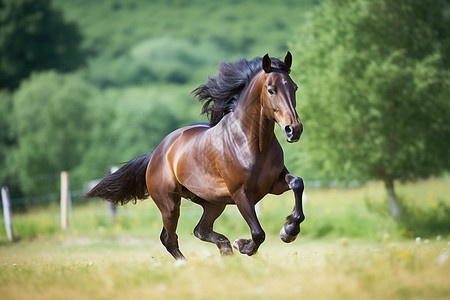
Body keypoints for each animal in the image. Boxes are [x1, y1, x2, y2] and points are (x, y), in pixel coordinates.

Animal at [83, 52, 306, 260]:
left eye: (294, 87)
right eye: (271, 90)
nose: (293, 130)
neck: (251, 143)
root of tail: (157, 153)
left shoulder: (273, 184)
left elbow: (297, 183)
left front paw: (289, 231)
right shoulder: (241, 193)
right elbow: (258, 233)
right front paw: (243, 245)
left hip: (213, 203)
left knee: (200, 230)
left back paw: (225, 249)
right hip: (170, 205)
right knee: (169, 238)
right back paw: (190, 262)